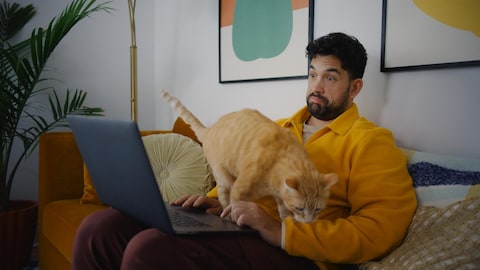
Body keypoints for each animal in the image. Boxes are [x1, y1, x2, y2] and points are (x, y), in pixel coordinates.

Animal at [161, 89, 338, 223]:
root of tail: (209, 130)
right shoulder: (239, 189)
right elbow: (234, 207)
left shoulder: (279, 196)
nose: (308, 222)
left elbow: (282, 209)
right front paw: (235, 220)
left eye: (318, 209)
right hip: (224, 179)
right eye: (300, 208)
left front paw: (285, 222)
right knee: (224, 200)